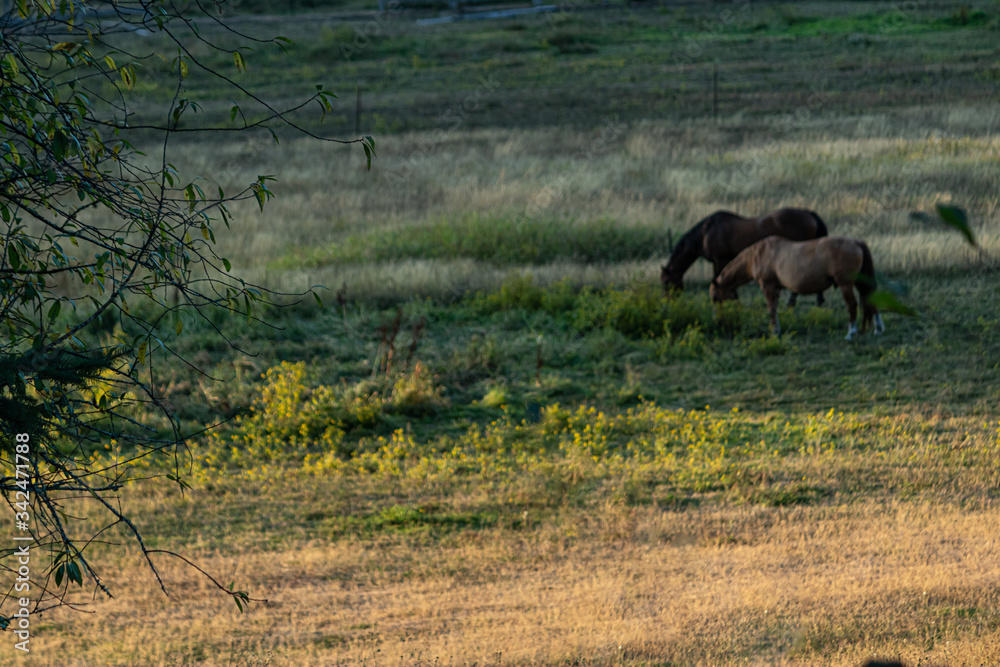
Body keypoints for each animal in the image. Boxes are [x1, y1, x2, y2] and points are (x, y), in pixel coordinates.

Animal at [661, 208, 829, 306]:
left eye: (666, 283)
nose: (668, 301)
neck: (705, 233)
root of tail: (809, 214)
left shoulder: (720, 260)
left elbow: (720, 277)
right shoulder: (721, 261)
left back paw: (792, 303)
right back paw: (818, 301)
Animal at [709, 236, 886, 341]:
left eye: (715, 297)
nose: (719, 321)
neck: (756, 256)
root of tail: (855, 242)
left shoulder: (767, 286)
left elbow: (771, 309)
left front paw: (774, 331)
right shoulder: (776, 289)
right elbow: (774, 308)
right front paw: (777, 329)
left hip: (846, 285)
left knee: (852, 305)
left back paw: (851, 333)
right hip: (860, 282)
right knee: (871, 299)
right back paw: (878, 328)